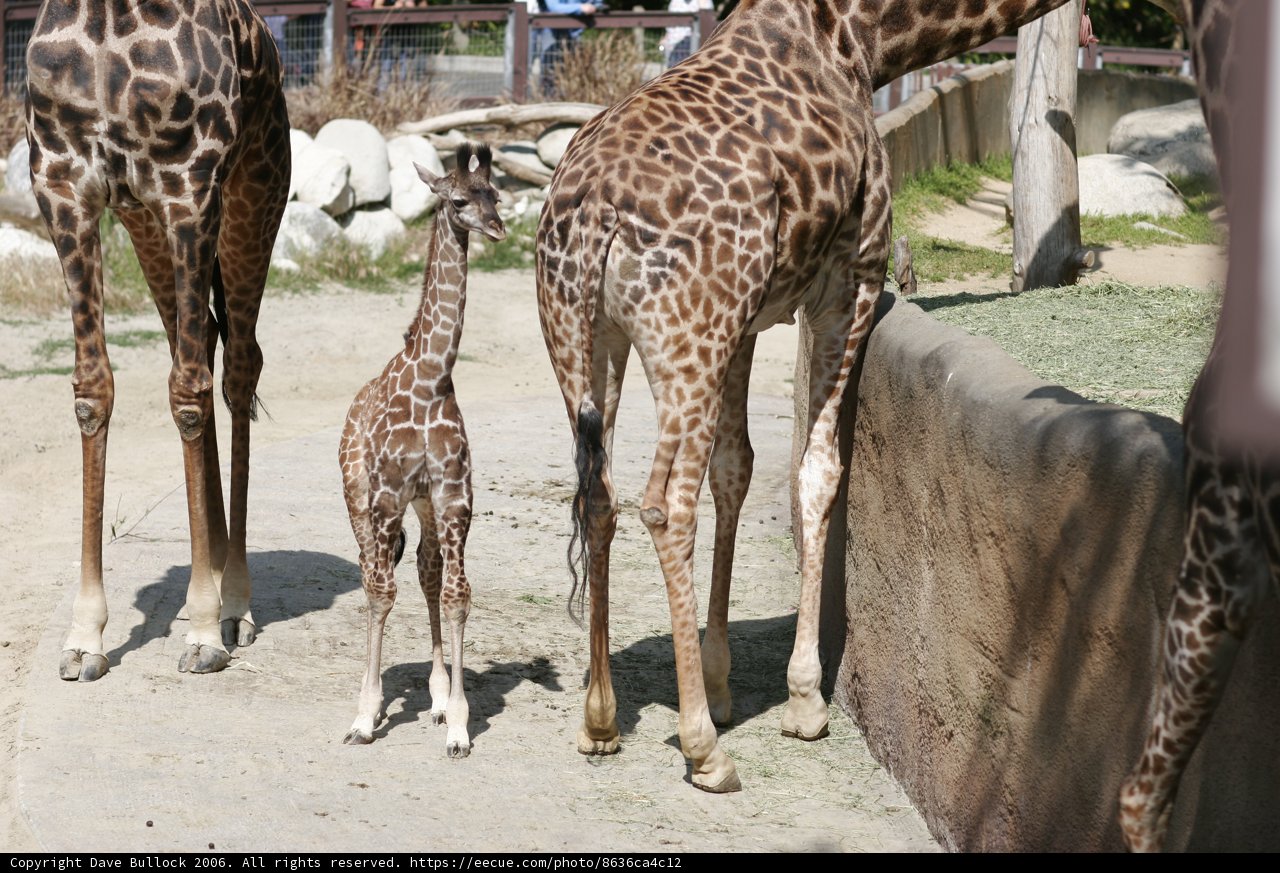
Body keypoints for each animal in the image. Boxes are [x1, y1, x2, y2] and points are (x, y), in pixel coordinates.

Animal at [25, 0, 290, 680]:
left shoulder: (188, 189)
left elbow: (190, 396)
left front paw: (202, 631)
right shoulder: (65, 187)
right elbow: (93, 389)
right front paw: (84, 637)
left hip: (253, 196)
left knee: (237, 367)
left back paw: (235, 604)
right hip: (143, 223)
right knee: (199, 345)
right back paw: (218, 577)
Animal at [338, 144, 505, 757]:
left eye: (494, 194)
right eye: (457, 200)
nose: (497, 227)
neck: (432, 378)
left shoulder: (454, 497)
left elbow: (455, 592)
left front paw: (457, 722)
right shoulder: (387, 494)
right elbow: (381, 592)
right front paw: (365, 717)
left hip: (425, 507)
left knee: (426, 572)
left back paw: (433, 698)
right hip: (359, 498)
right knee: (372, 576)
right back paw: (374, 698)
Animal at [535, 0, 1080, 792]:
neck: (863, 40)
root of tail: (594, 213)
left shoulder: (746, 319)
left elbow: (736, 469)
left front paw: (723, 682)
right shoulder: (847, 282)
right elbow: (818, 469)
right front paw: (803, 700)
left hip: (587, 338)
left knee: (599, 494)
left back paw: (601, 719)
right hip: (684, 334)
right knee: (664, 503)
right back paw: (704, 749)